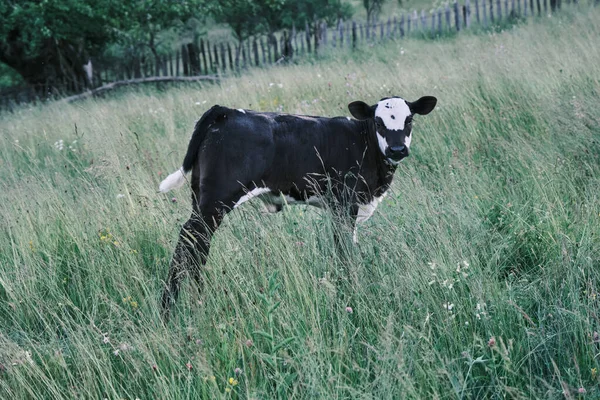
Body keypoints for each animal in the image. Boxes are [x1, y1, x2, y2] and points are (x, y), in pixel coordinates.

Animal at [156, 95, 436, 314]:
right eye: (378, 122)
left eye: (409, 120)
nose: (397, 149)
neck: (363, 143)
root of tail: (225, 111)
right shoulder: (345, 204)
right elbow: (345, 250)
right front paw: (351, 290)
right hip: (217, 199)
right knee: (190, 238)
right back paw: (169, 308)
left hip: (201, 198)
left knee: (198, 244)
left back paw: (197, 298)